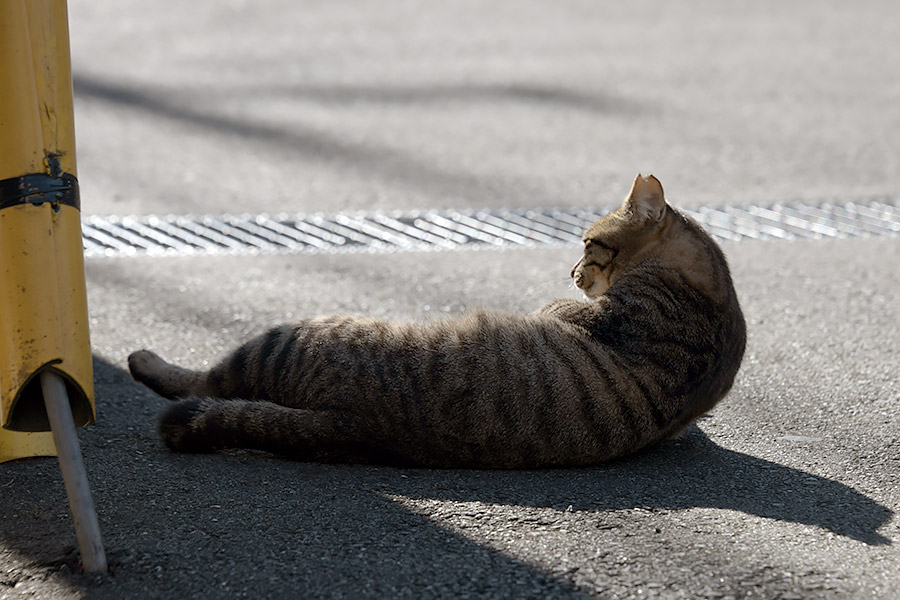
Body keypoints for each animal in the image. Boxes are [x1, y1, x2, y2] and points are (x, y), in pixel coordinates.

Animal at [126, 173, 744, 468]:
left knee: (207, 382)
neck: (714, 293)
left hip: (289, 338)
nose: (571, 273)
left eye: (589, 245)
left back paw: (144, 360)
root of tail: (355, 424)